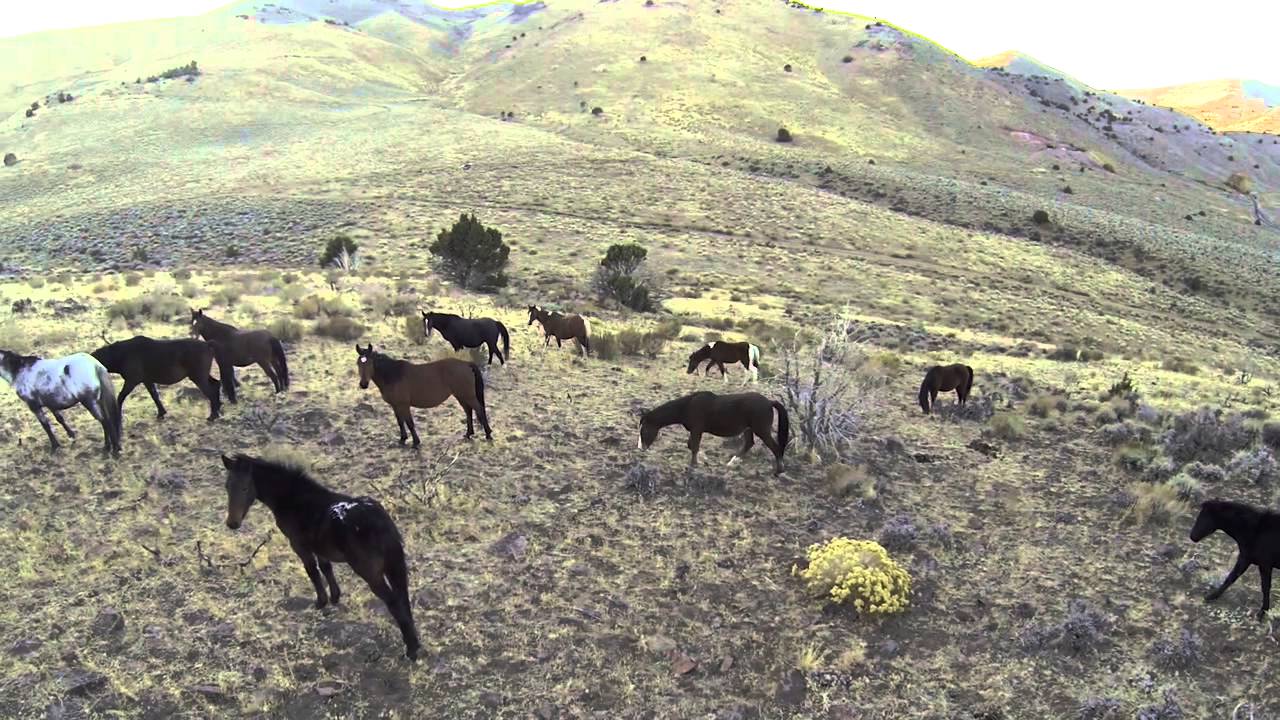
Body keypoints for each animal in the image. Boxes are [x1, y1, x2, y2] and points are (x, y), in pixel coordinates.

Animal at [92, 336, 235, 424]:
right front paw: (161, 413)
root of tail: (207, 344)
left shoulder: (132, 381)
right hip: (201, 375)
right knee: (216, 384)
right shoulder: (147, 380)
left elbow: (120, 397)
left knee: (210, 391)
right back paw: (218, 409)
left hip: (198, 376)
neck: (121, 354)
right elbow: (155, 396)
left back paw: (213, 415)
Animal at [220, 453, 421, 661]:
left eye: (245, 487)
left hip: (371, 573)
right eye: (227, 486)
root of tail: (381, 523)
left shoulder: (299, 545)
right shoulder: (320, 548)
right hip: (395, 566)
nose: (232, 523)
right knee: (403, 598)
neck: (294, 498)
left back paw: (411, 650)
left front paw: (321, 602)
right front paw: (335, 597)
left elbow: (312, 571)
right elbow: (326, 568)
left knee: (394, 602)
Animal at [356, 344, 492, 446]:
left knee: (479, 410)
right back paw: (468, 434)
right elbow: (400, 422)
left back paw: (488, 434)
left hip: (468, 396)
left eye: (370, 363)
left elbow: (409, 423)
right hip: (461, 396)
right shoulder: (395, 405)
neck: (393, 375)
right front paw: (402, 439)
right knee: (468, 411)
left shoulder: (404, 405)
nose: (363, 384)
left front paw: (416, 442)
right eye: (358, 363)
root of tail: (466, 364)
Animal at [638, 391, 789, 475]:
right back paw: (731, 463)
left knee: (775, 448)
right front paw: (701, 461)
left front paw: (694, 465)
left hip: (761, 430)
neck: (688, 406)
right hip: (749, 429)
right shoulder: (695, 431)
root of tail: (769, 402)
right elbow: (691, 445)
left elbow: (694, 446)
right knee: (749, 443)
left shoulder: (697, 430)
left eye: (644, 429)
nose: (641, 448)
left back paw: (778, 471)